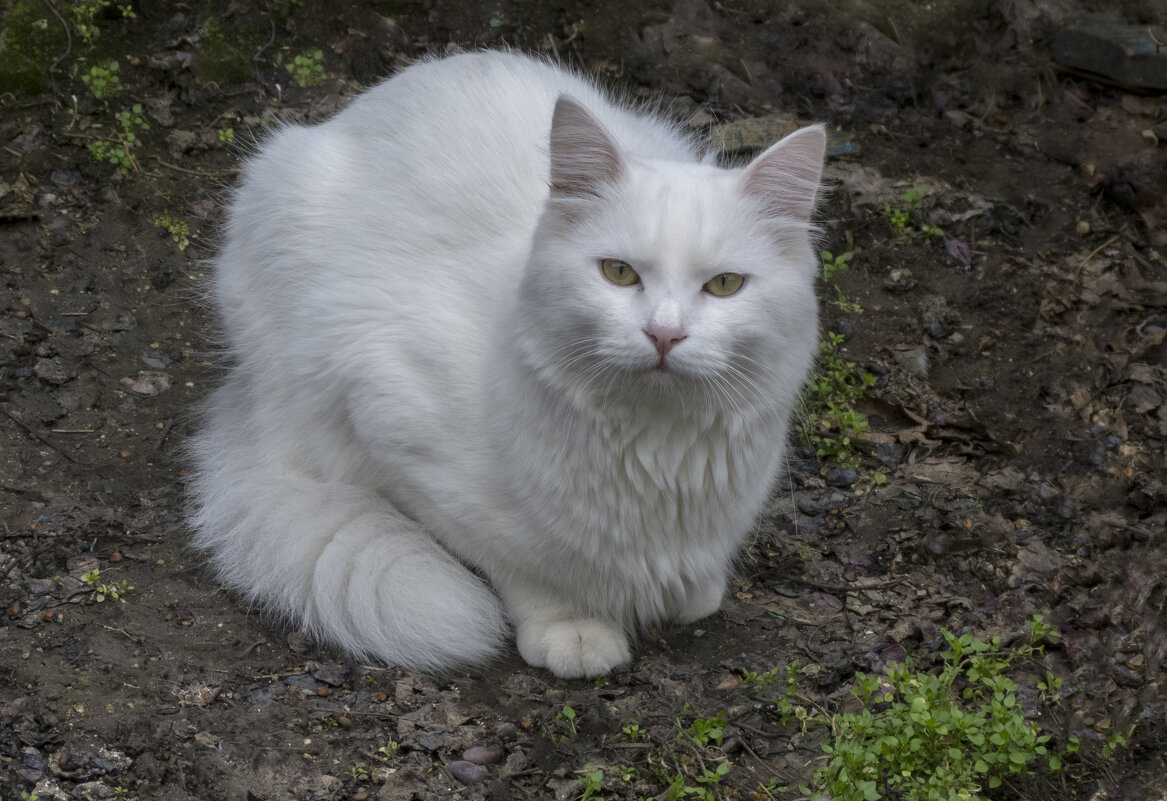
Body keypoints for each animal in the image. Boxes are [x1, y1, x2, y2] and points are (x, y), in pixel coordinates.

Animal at [191, 48, 826, 677]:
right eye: (618, 273)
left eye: (724, 285)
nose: (664, 334)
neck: (656, 450)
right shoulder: (387, 414)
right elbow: (520, 565)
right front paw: (571, 625)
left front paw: (693, 589)